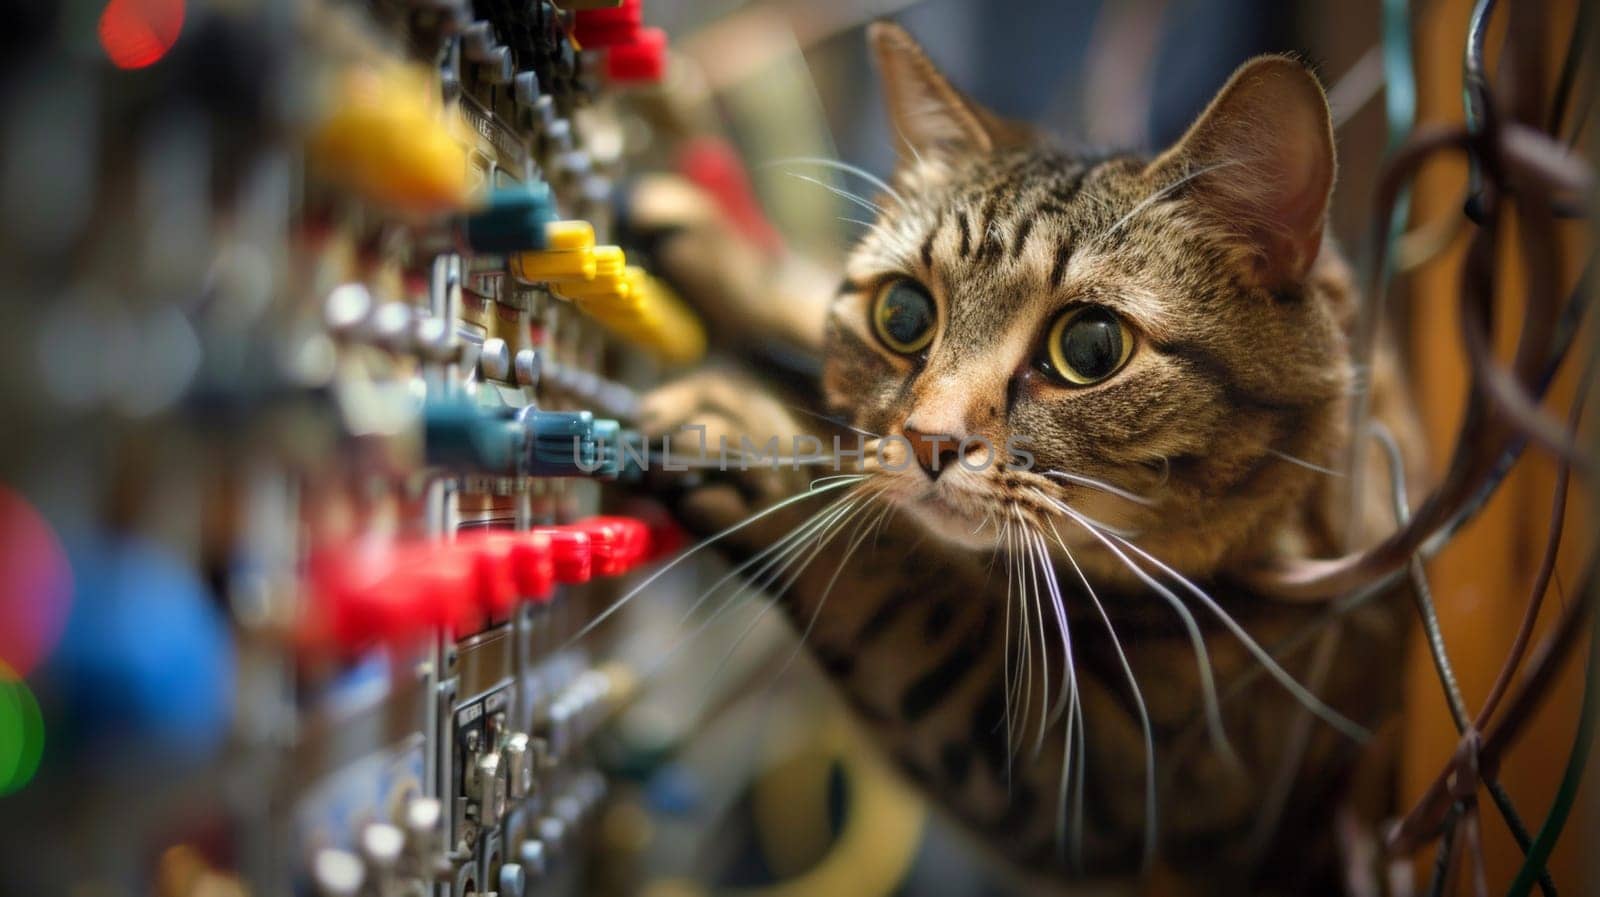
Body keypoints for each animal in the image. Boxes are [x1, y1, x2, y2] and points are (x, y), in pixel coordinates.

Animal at [630, 22, 1420, 895]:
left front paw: (746, 437)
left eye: (1091, 347)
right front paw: (713, 248)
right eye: (902, 313)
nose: (929, 438)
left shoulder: (1105, 783)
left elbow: (890, 580)